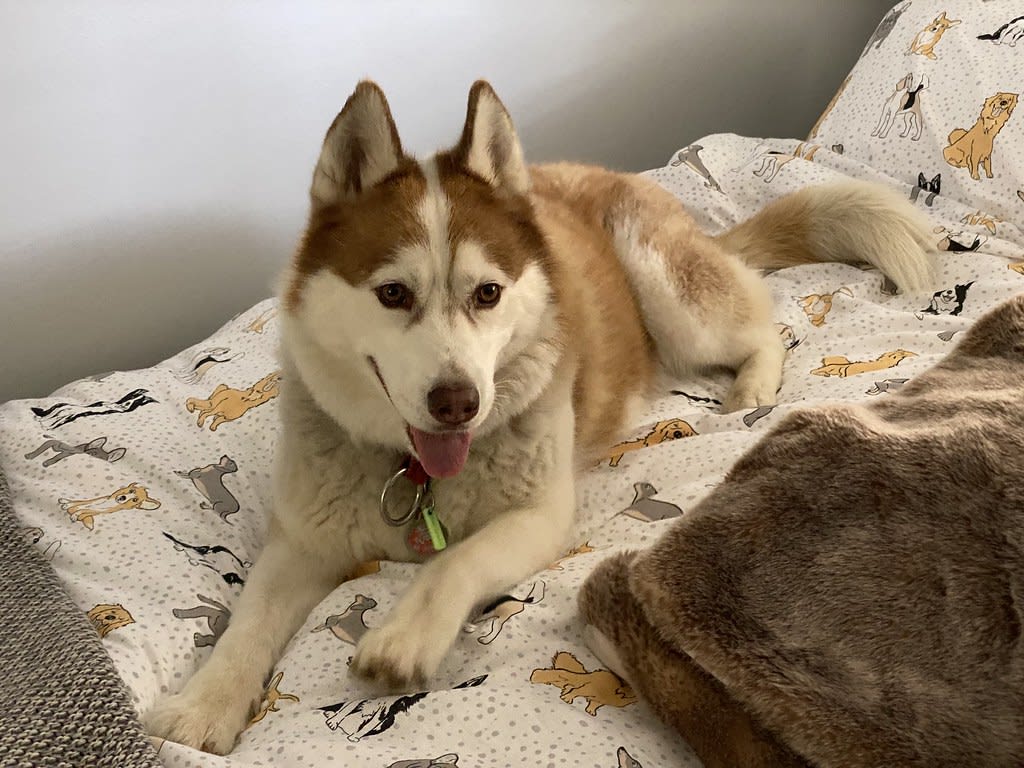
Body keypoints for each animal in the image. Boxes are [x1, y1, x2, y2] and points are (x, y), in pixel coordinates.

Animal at [145, 80, 933, 753]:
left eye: (487, 293)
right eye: (393, 293)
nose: (458, 402)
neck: (415, 474)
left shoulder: (539, 516)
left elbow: (456, 561)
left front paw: (404, 638)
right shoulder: (303, 541)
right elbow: (247, 623)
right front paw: (202, 707)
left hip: (674, 301)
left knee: (761, 327)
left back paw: (754, 390)